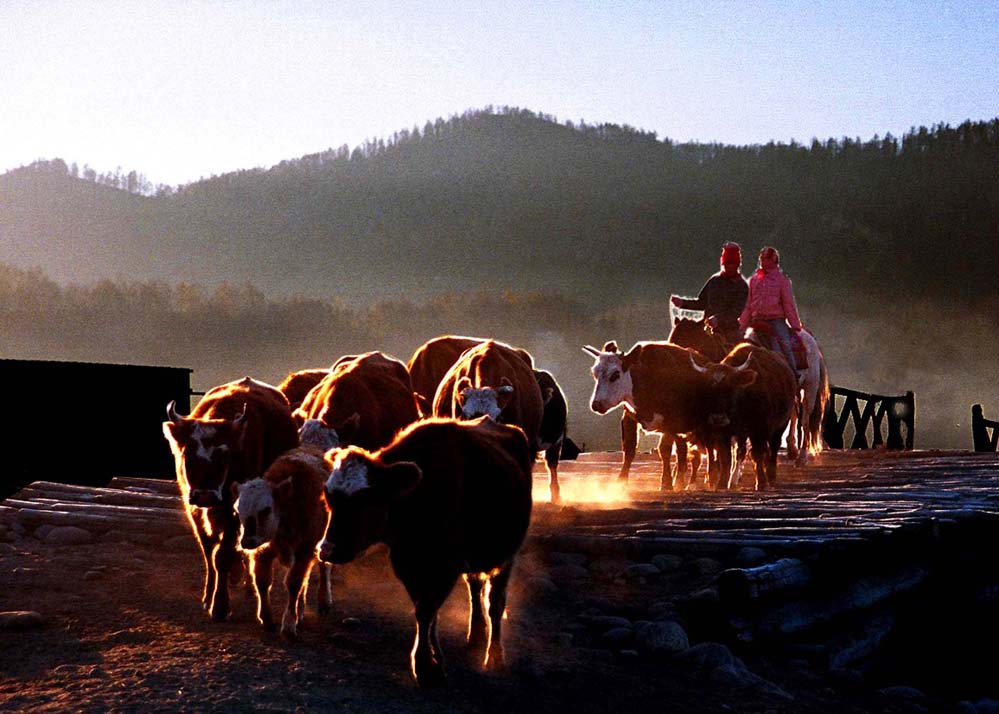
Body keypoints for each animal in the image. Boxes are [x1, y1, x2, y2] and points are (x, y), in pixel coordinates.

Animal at [161, 378, 296, 616]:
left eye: (224, 456)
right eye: (187, 454)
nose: (205, 496)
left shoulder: (235, 512)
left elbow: (222, 556)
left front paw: (220, 605)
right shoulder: (194, 510)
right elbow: (209, 553)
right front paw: (208, 596)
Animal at [232, 442, 330, 636]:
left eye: (266, 510)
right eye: (238, 510)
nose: (246, 542)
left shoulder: (305, 549)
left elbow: (294, 583)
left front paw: (289, 624)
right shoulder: (263, 550)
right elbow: (263, 582)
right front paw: (267, 618)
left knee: (324, 568)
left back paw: (323, 601)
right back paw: (301, 610)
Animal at [320, 418, 540, 684]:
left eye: (364, 499)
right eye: (328, 497)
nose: (327, 550)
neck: (419, 496)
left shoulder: (445, 567)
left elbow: (426, 611)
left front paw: (423, 665)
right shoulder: (407, 565)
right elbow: (427, 612)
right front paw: (435, 660)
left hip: (506, 557)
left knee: (495, 604)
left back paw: (494, 656)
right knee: (475, 588)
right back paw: (476, 634)